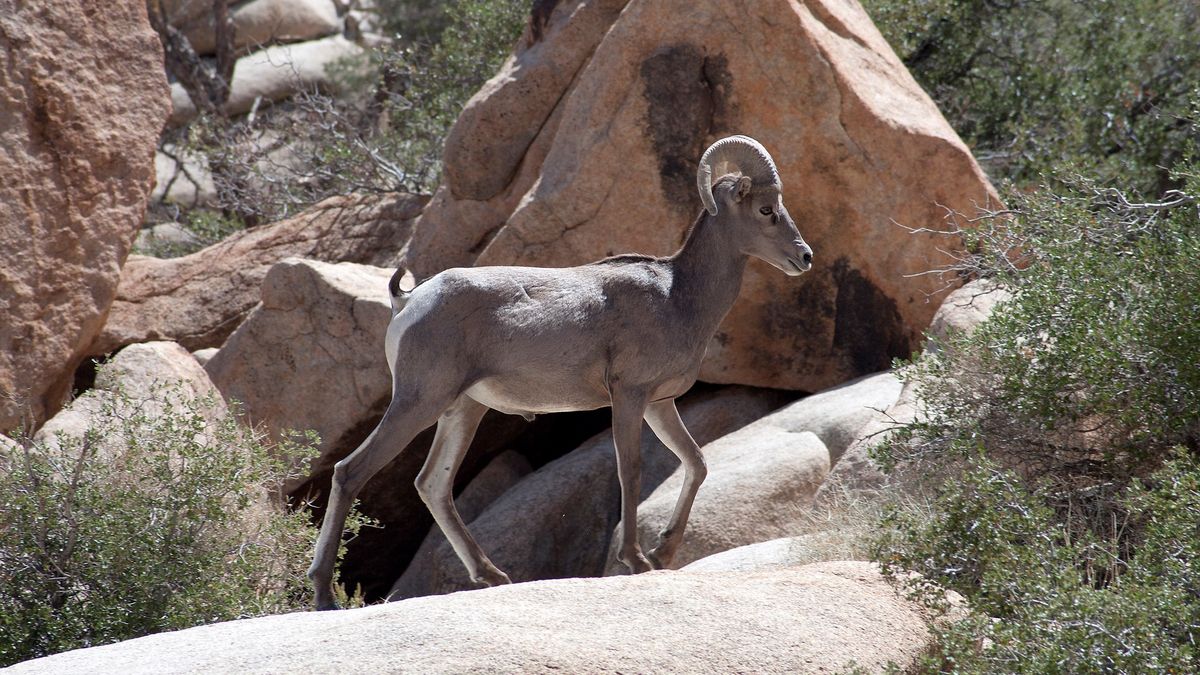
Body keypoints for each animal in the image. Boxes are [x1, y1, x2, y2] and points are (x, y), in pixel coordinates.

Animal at [309, 133, 816, 607]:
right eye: (767, 209)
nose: (805, 257)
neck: (677, 297)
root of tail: (410, 300)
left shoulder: (661, 404)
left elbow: (696, 462)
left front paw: (663, 554)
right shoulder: (630, 397)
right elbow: (630, 469)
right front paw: (636, 560)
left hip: (462, 411)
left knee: (433, 485)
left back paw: (494, 577)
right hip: (419, 402)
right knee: (351, 471)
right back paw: (324, 596)